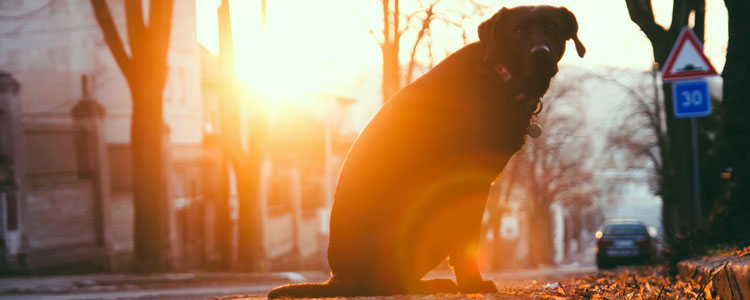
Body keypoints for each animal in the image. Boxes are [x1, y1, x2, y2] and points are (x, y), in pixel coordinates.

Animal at [270, 5, 588, 298]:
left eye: (552, 27)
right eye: (518, 31)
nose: (540, 53)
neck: (500, 75)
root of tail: (338, 280)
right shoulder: (471, 181)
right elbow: (468, 242)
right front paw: (472, 283)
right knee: (385, 283)